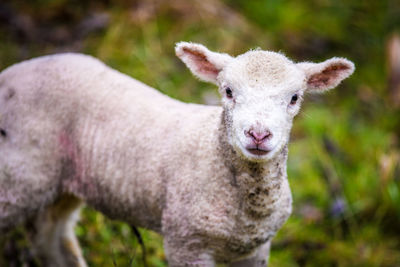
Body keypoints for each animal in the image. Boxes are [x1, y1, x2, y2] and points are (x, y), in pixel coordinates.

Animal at [0, 42, 354, 266]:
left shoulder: (256, 250)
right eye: (228, 91)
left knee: (49, 234)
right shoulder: (186, 243)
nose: (258, 134)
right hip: (21, 170)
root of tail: (10, 74)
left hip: (61, 181)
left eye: (294, 98)